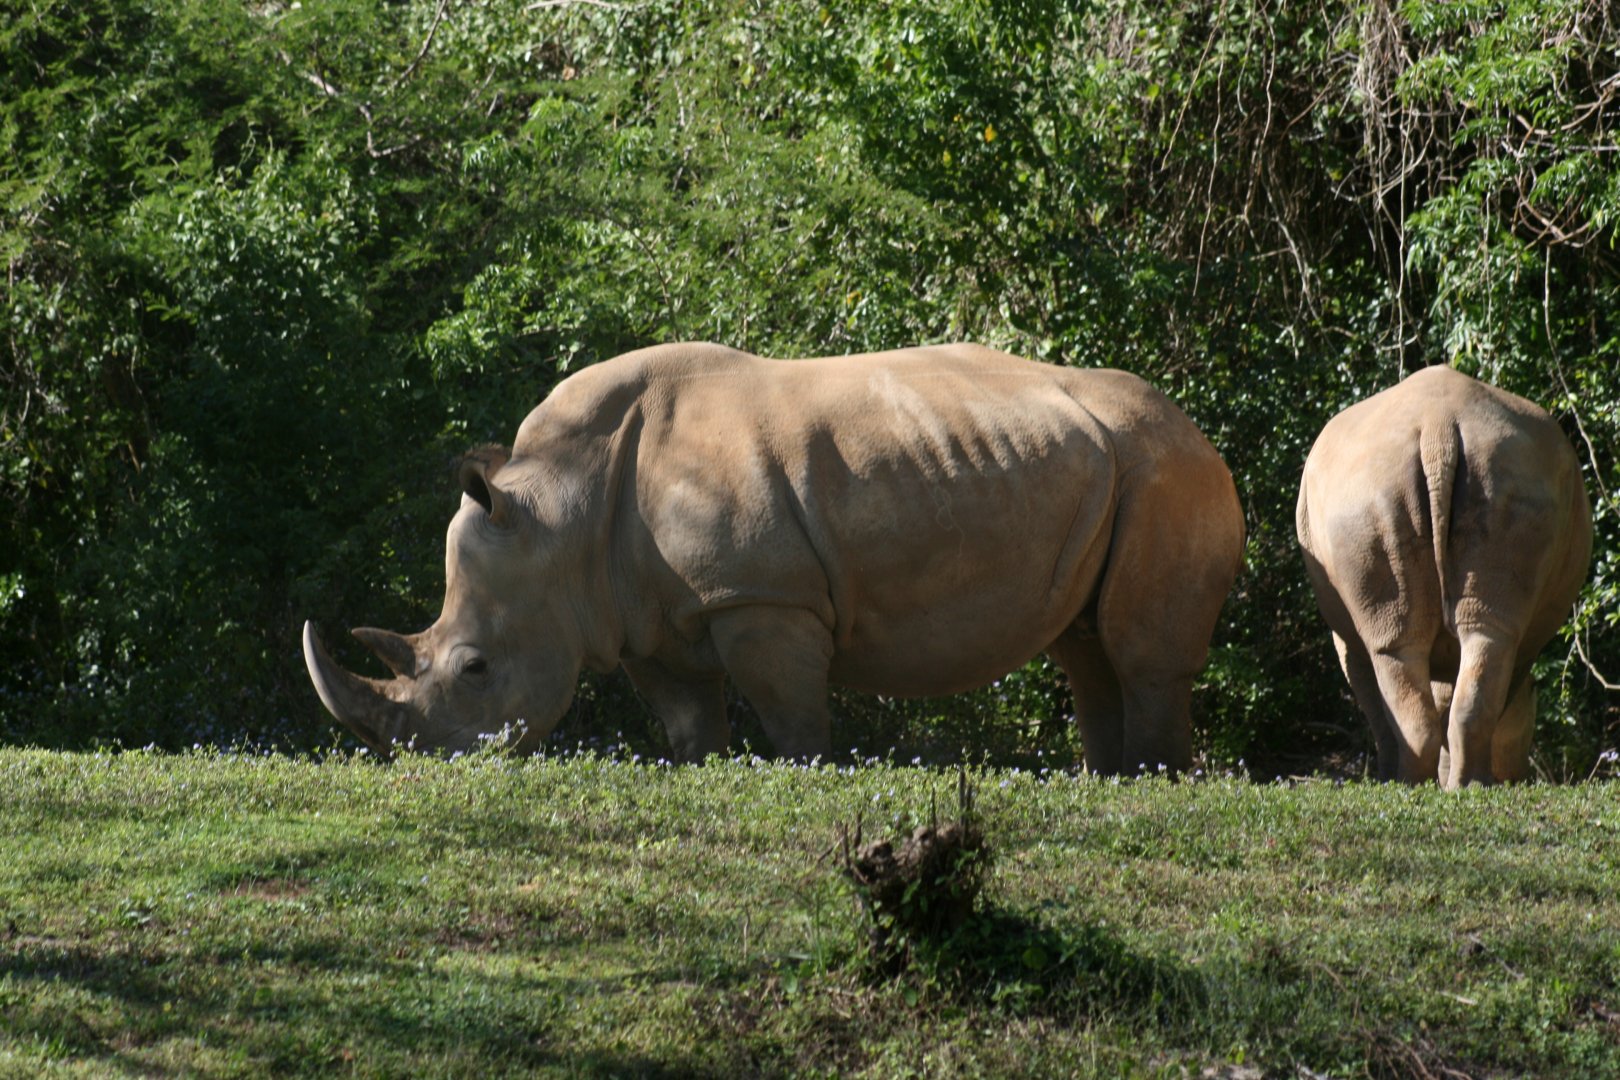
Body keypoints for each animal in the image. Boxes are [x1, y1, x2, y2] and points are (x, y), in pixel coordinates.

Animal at [303, 342, 1245, 771]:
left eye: (473, 669)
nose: (423, 760)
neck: (556, 509)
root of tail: (1203, 431)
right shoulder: (642, 616)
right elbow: (688, 721)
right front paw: (705, 769)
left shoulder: (758, 595)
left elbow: (791, 717)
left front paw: (804, 774)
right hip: (1116, 468)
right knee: (1085, 646)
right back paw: (1111, 778)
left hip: (1167, 471)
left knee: (1135, 650)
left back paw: (1153, 779)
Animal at [1296, 366, 1592, 788]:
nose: (1519, 775)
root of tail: (1439, 429)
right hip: (1494, 483)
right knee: (1474, 638)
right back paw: (1459, 786)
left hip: (1385, 494)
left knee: (1405, 648)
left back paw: (1422, 785)